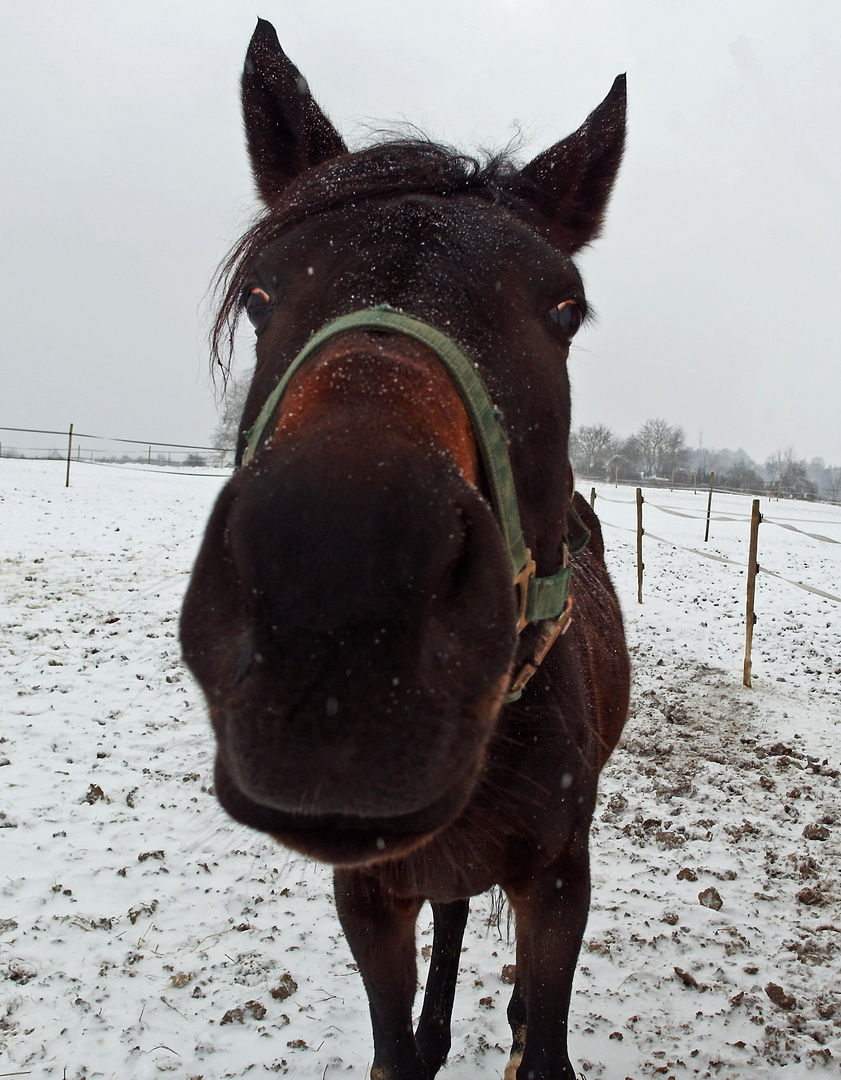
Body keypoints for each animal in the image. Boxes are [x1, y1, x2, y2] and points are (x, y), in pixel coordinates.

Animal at [182, 19, 630, 1080]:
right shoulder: (367, 894)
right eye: (260, 292)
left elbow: (543, 1043)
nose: (336, 589)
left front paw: (520, 1022)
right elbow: (394, 1045)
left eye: (563, 308)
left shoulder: (560, 880)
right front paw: (421, 1034)